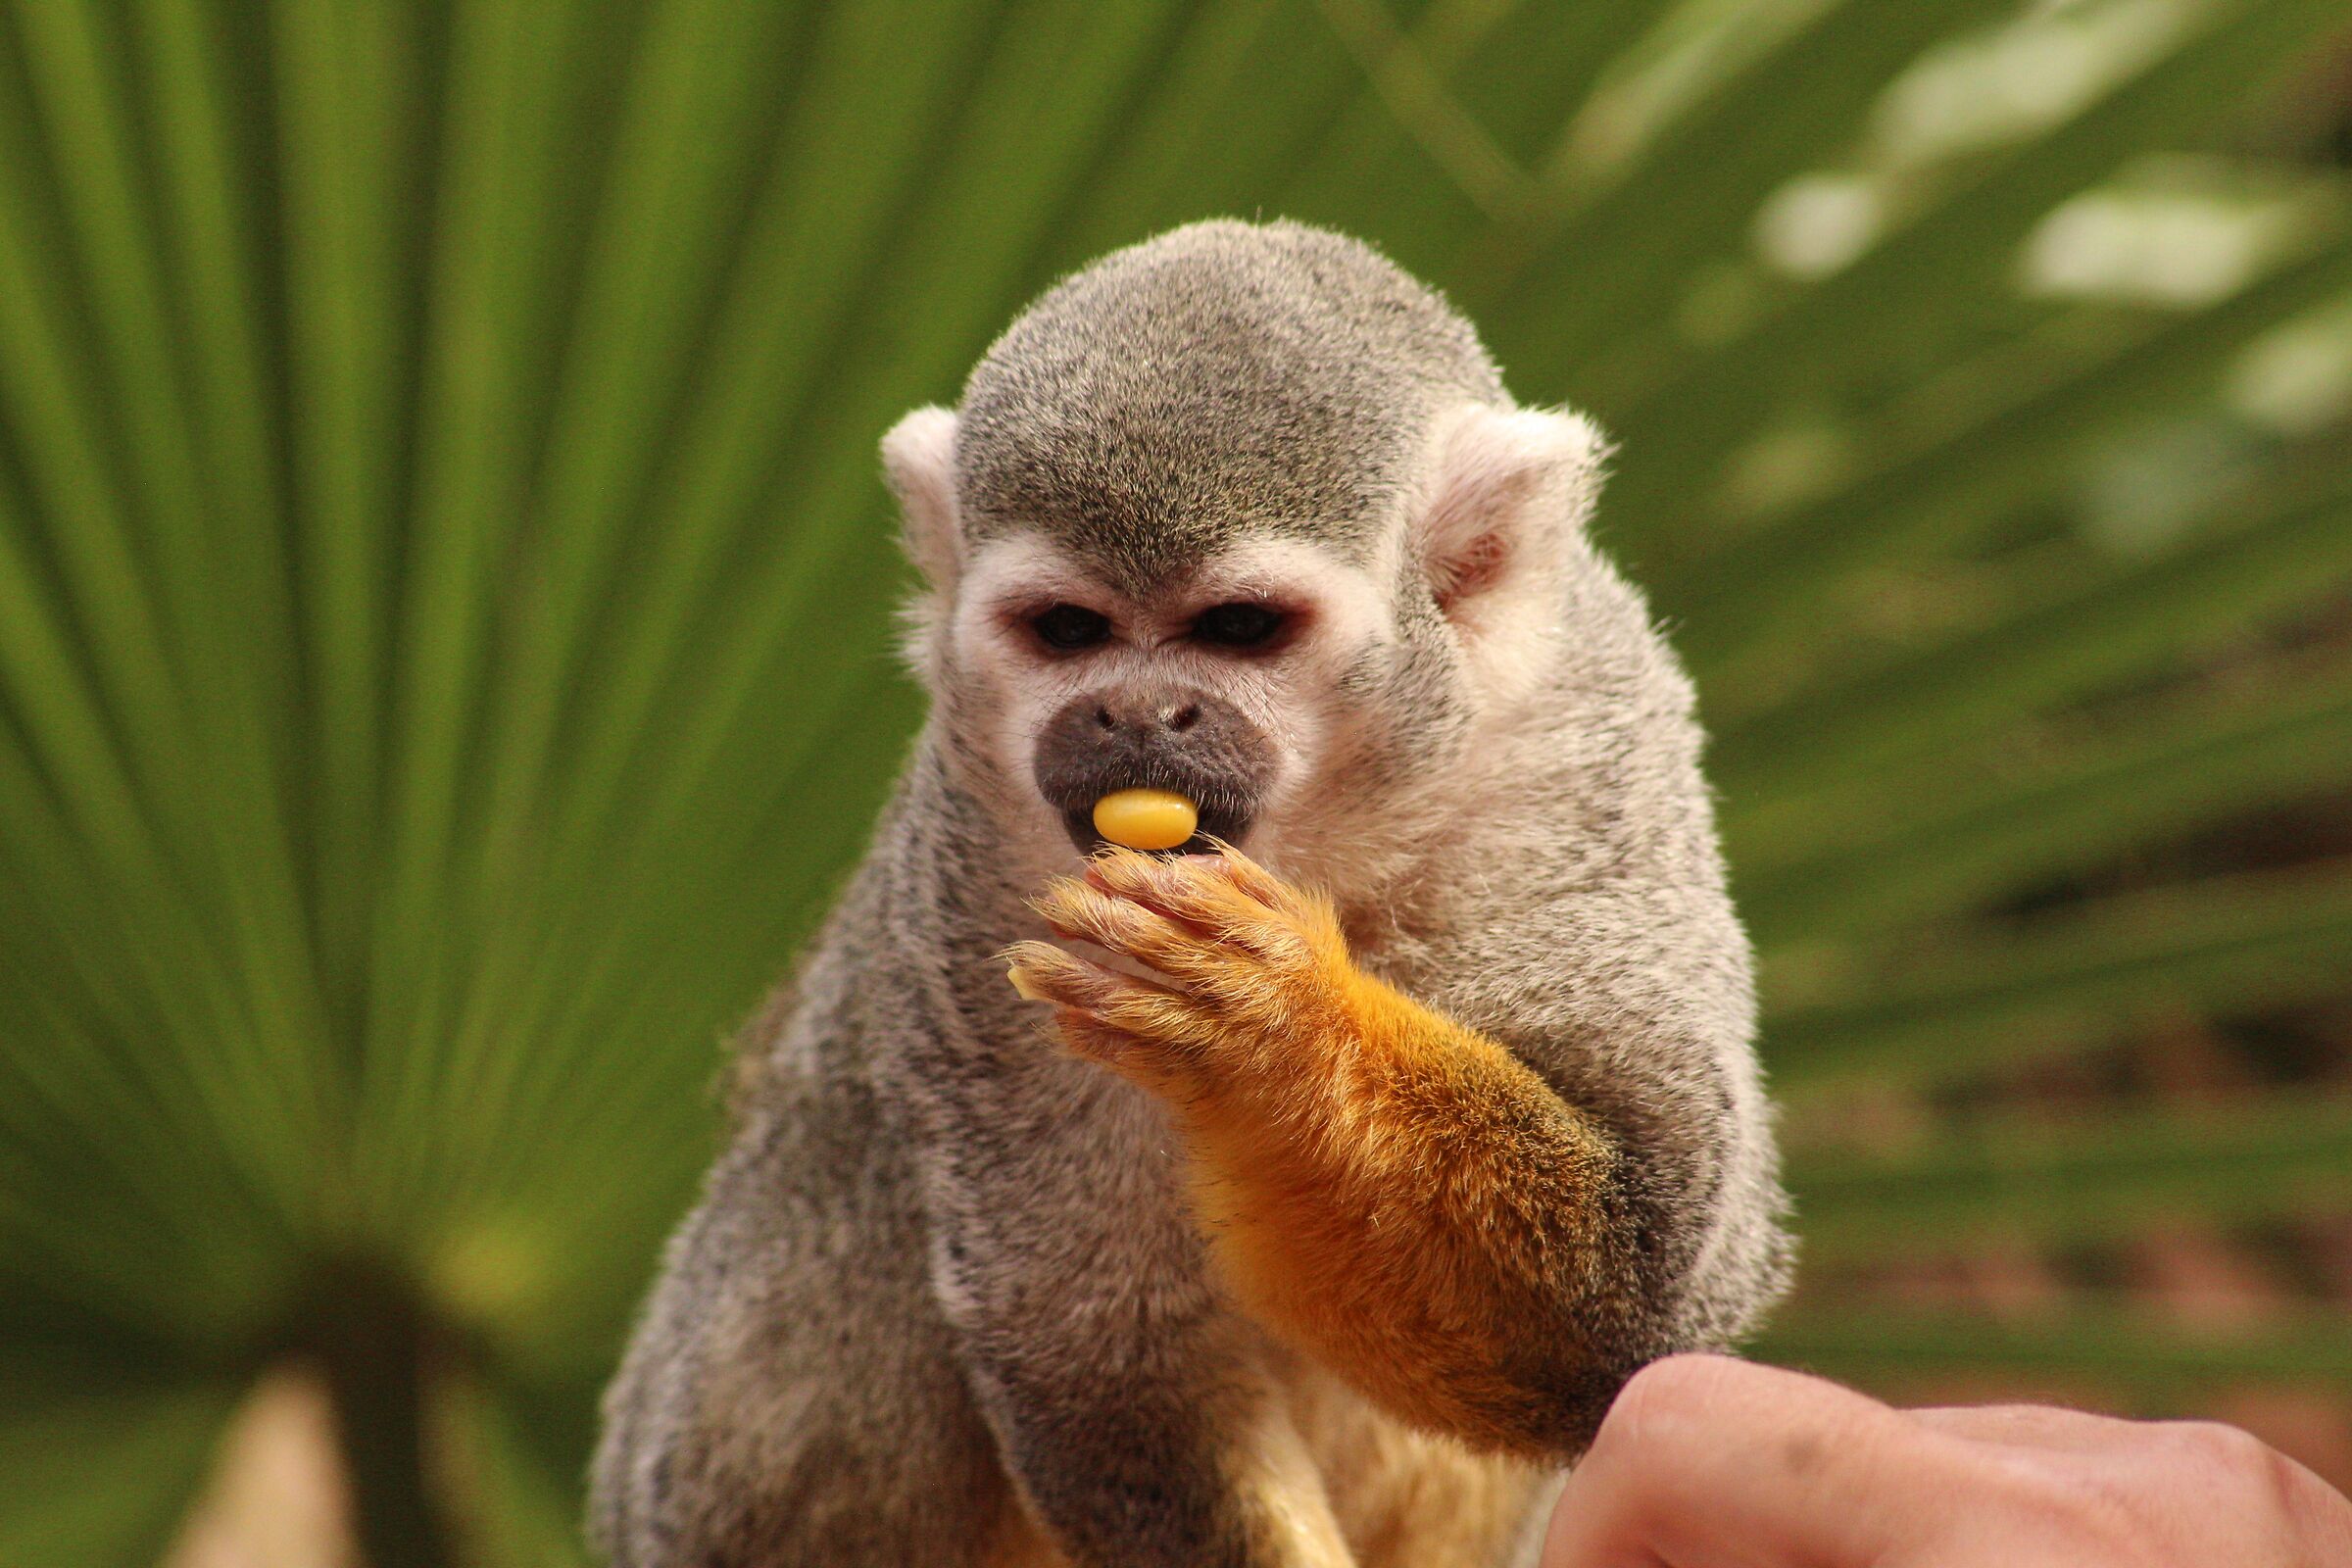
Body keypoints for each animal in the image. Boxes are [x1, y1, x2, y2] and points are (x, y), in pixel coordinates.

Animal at [590, 218, 1792, 1568]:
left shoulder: (1587, 740)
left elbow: (1641, 1275)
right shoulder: (973, 857)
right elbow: (1101, 1353)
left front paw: (1277, 1034)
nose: (1133, 713)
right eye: (1069, 630)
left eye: (1240, 626)